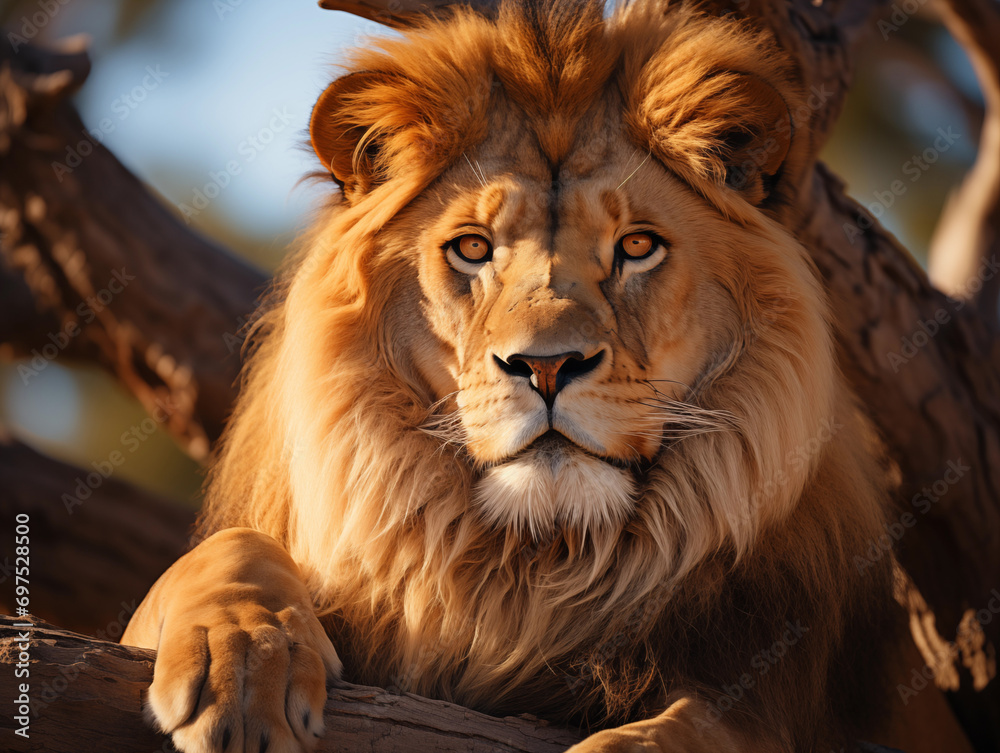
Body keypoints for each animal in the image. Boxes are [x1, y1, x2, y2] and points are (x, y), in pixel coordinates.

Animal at [121, 2, 967, 752]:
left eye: (636, 246)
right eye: (472, 248)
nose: (547, 365)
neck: (532, 568)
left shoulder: (779, 697)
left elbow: (686, 730)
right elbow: (221, 550)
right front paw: (241, 661)